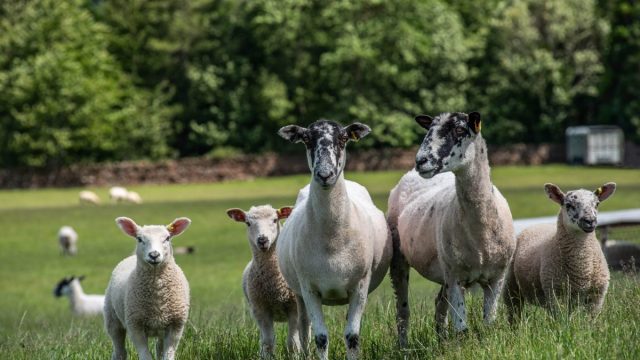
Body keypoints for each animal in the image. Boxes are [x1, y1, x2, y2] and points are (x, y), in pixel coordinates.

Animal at [226, 204, 302, 358]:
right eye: (248, 223)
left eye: (275, 220)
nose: (262, 240)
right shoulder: (261, 309)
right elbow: (268, 343)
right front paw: (266, 356)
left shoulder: (294, 308)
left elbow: (293, 343)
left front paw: (295, 356)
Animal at [276, 120, 390, 360]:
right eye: (306, 139)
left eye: (343, 139)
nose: (325, 175)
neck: (332, 240)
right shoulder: (309, 289)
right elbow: (321, 338)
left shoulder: (360, 286)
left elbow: (352, 337)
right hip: (299, 293)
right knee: (304, 328)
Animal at [384, 112, 516, 344]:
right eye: (429, 130)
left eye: (460, 130)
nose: (421, 161)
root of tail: (409, 174)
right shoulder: (456, 277)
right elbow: (462, 330)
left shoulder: (496, 277)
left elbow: (489, 325)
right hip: (400, 257)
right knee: (403, 311)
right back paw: (404, 347)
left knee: (439, 304)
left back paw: (442, 341)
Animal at [504, 183, 616, 320]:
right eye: (568, 205)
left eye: (597, 204)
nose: (590, 221)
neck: (582, 268)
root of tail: (538, 224)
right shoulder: (555, 294)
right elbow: (562, 321)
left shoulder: (596, 297)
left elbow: (589, 320)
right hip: (511, 286)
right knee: (514, 311)